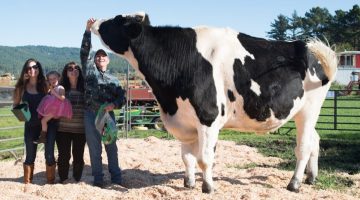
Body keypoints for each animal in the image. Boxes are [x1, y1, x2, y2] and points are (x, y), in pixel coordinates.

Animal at [90, 11, 338, 193]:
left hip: (309, 110)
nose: (93, 21)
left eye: (116, 20)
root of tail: (304, 47)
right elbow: (187, 157)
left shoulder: (208, 117)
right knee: (315, 140)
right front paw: (189, 183)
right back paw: (311, 177)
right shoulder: (185, 120)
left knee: (303, 147)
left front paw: (208, 187)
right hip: (303, 113)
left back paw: (294, 183)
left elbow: (204, 158)